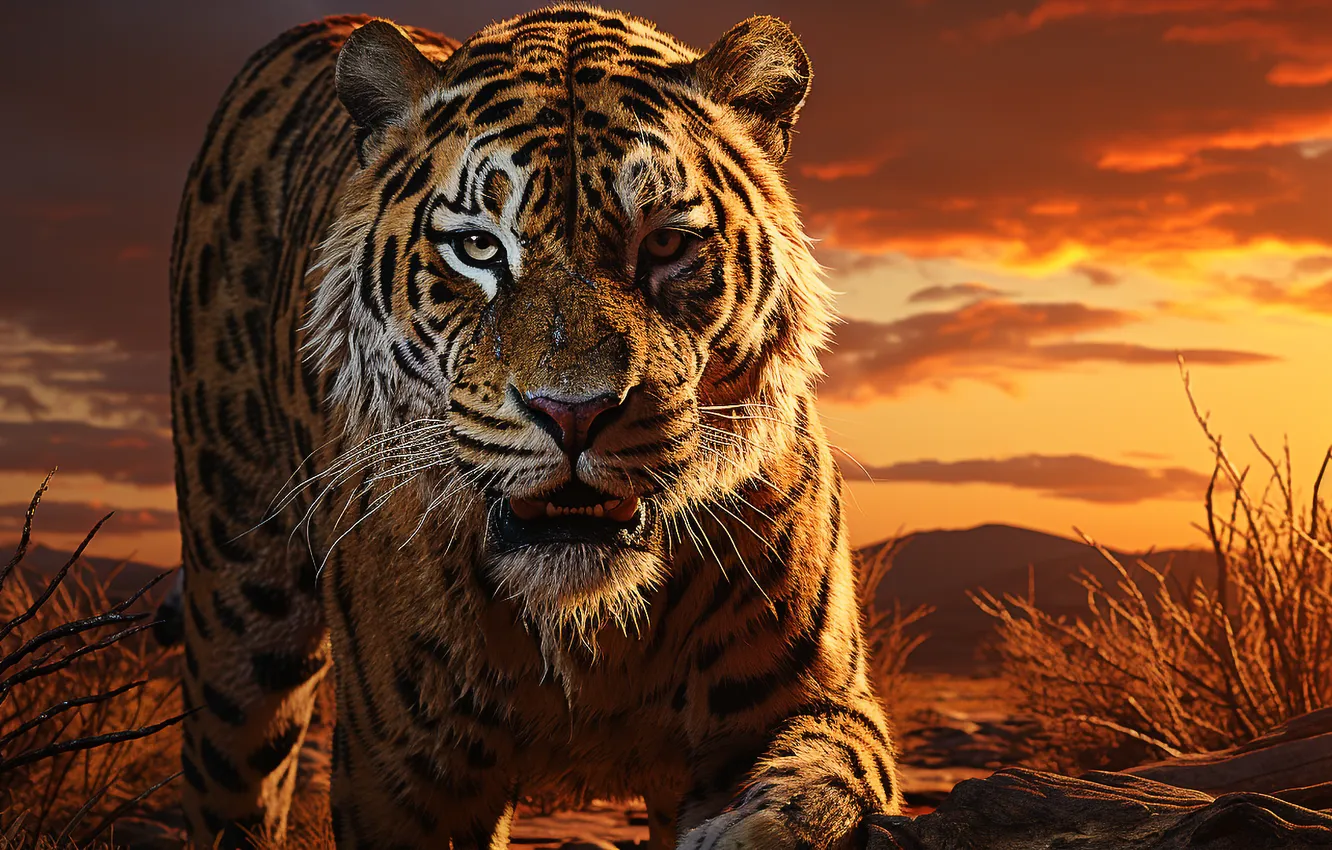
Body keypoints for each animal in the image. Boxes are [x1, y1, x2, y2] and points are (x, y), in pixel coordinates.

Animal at [168, 5, 901, 848]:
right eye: (478, 246)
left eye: (667, 243)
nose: (573, 411)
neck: (589, 630)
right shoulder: (404, 773)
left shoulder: (816, 698)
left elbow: (823, 782)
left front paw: (757, 827)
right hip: (237, 620)